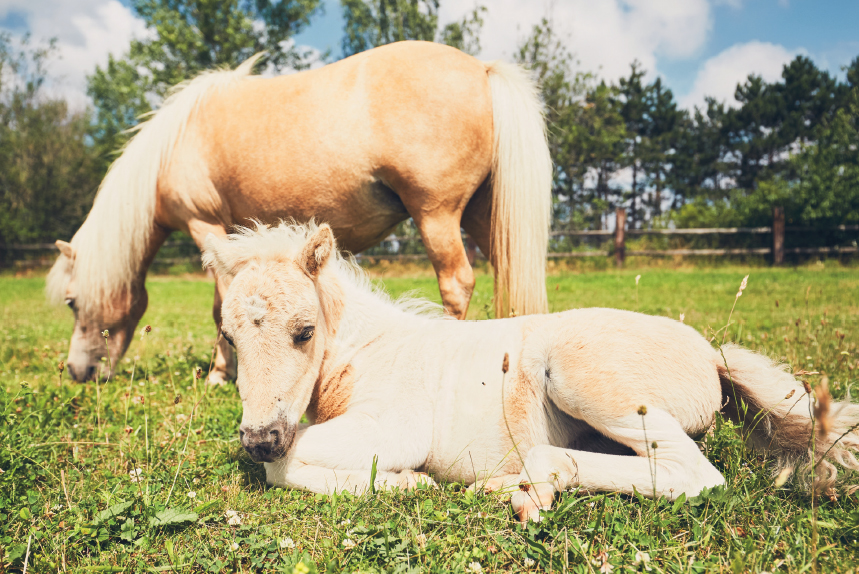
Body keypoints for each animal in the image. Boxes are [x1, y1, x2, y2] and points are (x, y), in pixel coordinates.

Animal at [48, 40, 552, 382]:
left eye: (72, 302)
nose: (76, 372)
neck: (175, 145)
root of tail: (482, 69)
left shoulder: (204, 226)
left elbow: (220, 303)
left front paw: (219, 373)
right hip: (483, 218)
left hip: (437, 215)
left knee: (456, 282)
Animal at [203, 222, 859, 528]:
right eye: (230, 339)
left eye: (304, 331)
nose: (258, 436)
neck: (366, 350)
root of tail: (710, 354)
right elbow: (282, 463)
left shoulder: (393, 429)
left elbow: (282, 468)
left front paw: (403, 483)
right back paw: (506, 487)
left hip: (582, 378)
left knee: (692, 473)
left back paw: (531, 487)